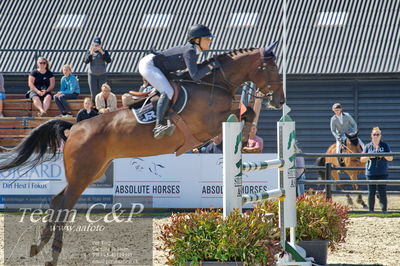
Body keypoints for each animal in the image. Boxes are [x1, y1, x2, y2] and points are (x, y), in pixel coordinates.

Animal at [0, 44, 284, 264]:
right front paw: (244, 136)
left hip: (92, 170)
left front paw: (247, 135)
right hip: (84, 173)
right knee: (65, 205)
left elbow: (245, 111)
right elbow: (242, 111)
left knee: (57, 200)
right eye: (272, 69)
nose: (280, 100)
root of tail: (75, 128)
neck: (214, 85)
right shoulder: (208, 124)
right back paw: (52, 253)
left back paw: (39, 247)